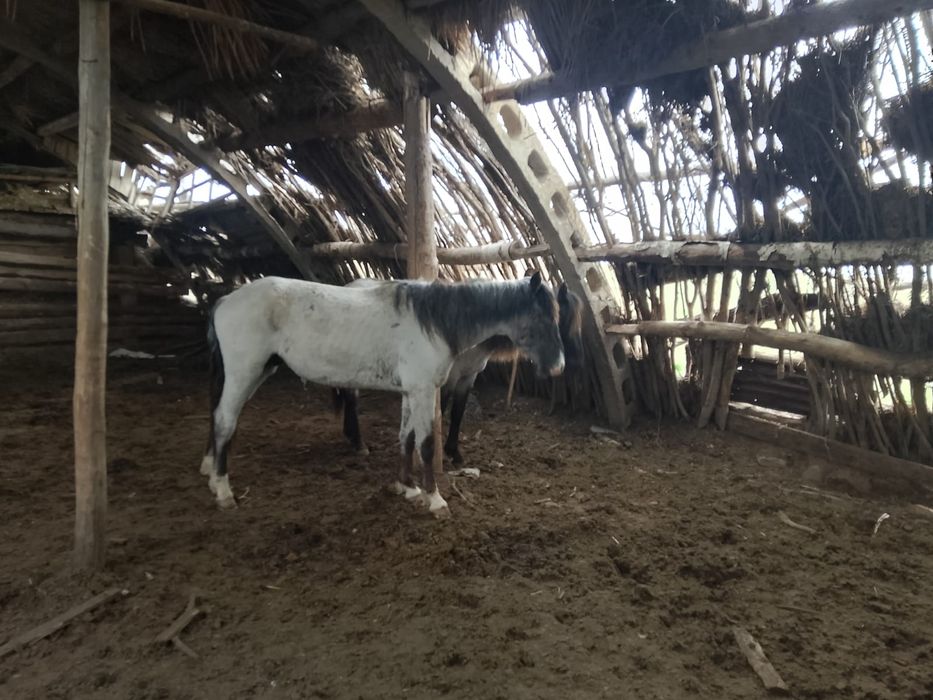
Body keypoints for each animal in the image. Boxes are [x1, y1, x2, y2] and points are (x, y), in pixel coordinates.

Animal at [332, 282, 584, 464]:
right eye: (558, 318)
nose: (566, 364)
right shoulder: (445, 379)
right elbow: (441, 410)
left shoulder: (467, 377)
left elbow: (458, 413)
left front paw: (453, 452)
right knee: (351, 399)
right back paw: (359, 443)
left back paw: (350, 436)